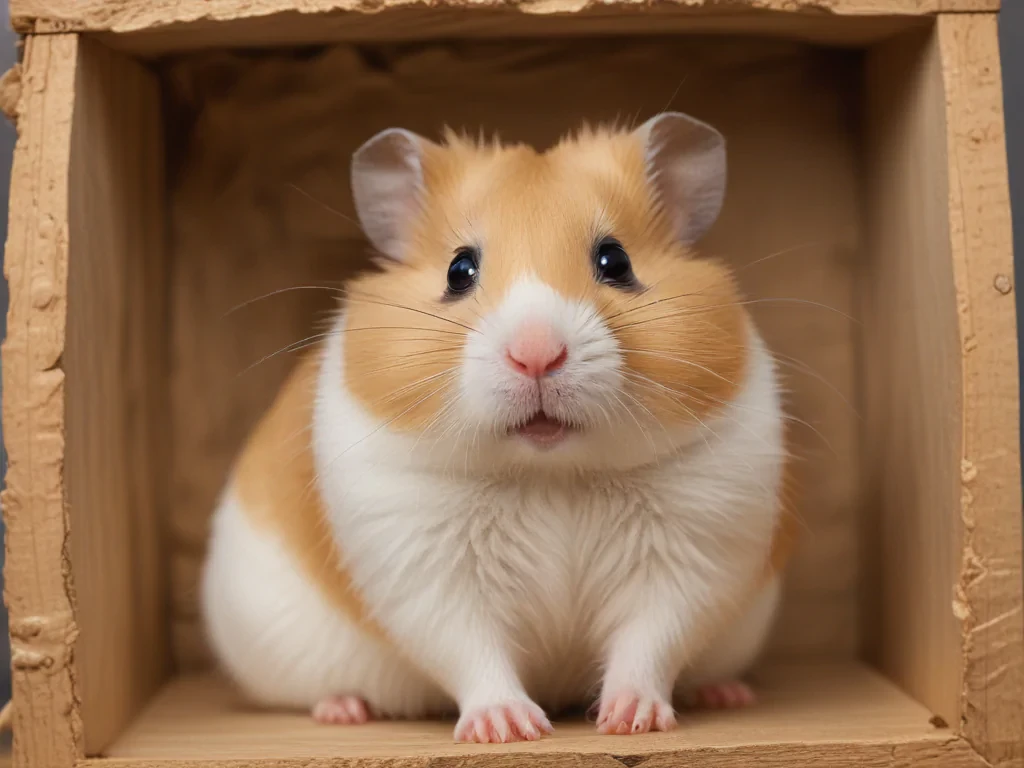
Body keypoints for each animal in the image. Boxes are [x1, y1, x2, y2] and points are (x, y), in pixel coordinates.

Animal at [202, 112, 796, 743]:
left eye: (616, 262)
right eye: (459, 270)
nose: (536, 355)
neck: (553, 473)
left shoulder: (689, 556)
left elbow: (648, 644)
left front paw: (630, 722)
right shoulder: (427, 571)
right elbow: (472, 652)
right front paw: (510, 729)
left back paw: (727, 693)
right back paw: (343, 708)